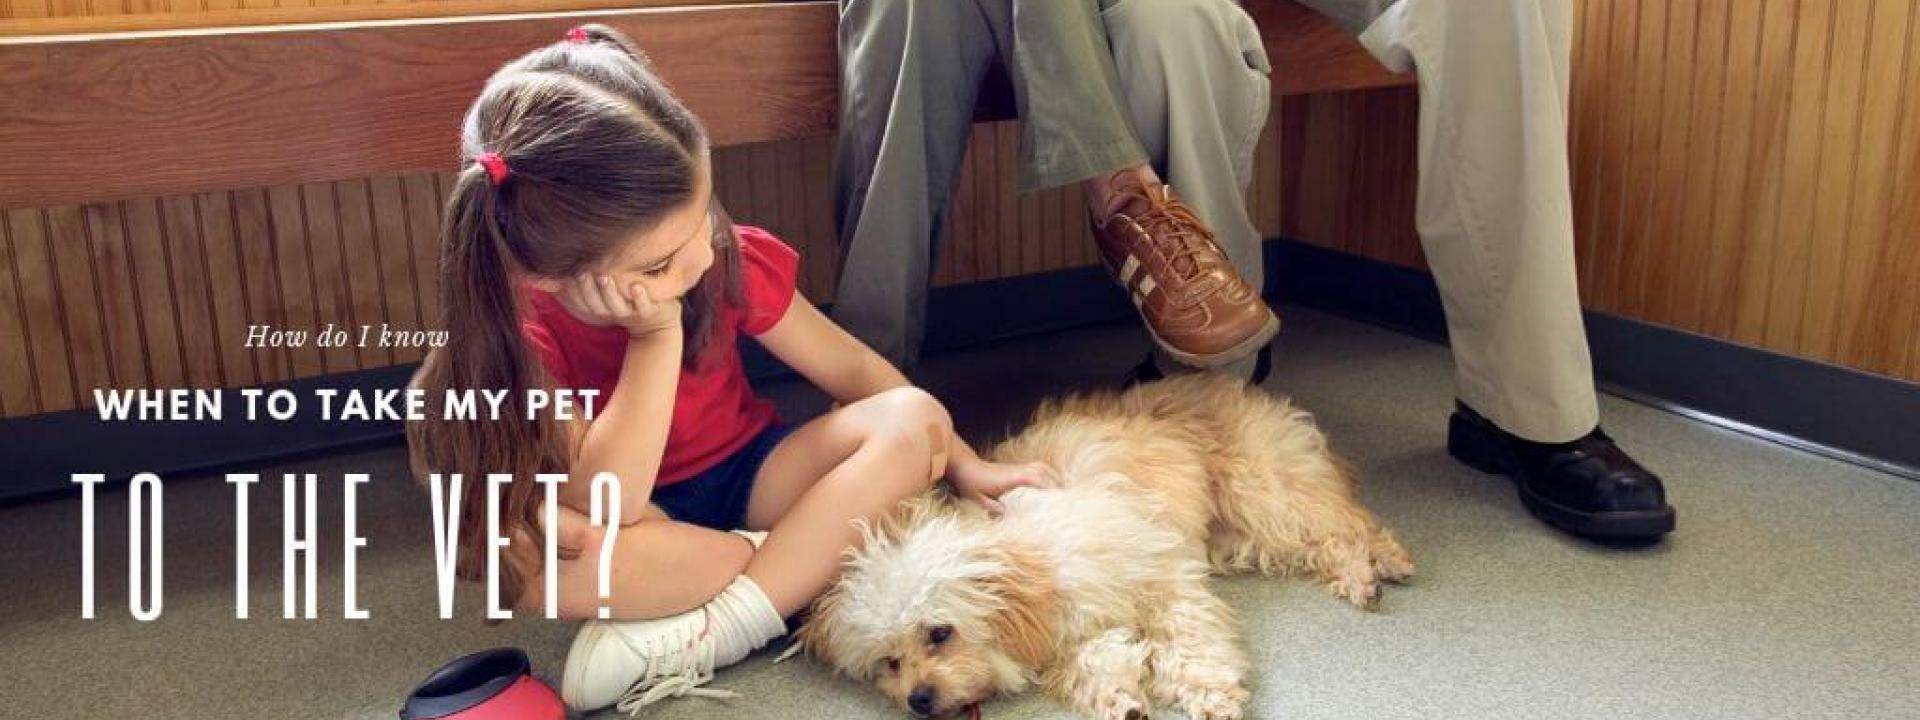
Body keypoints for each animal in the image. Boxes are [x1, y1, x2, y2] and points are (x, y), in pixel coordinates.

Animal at [791, 374, 1413, 718]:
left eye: (939, 633)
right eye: (889, 662)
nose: (917, 700)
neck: (1040, 574)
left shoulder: (1165, 584)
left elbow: (1189, 644)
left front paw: (1209, 694)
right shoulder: (1076, 633)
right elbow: (1096, 661)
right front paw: (1122, 701)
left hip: (1264, 494)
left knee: (1346, 522)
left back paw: (1380, 564)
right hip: (1240, 536)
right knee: (1321, 542)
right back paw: (1360, 575)